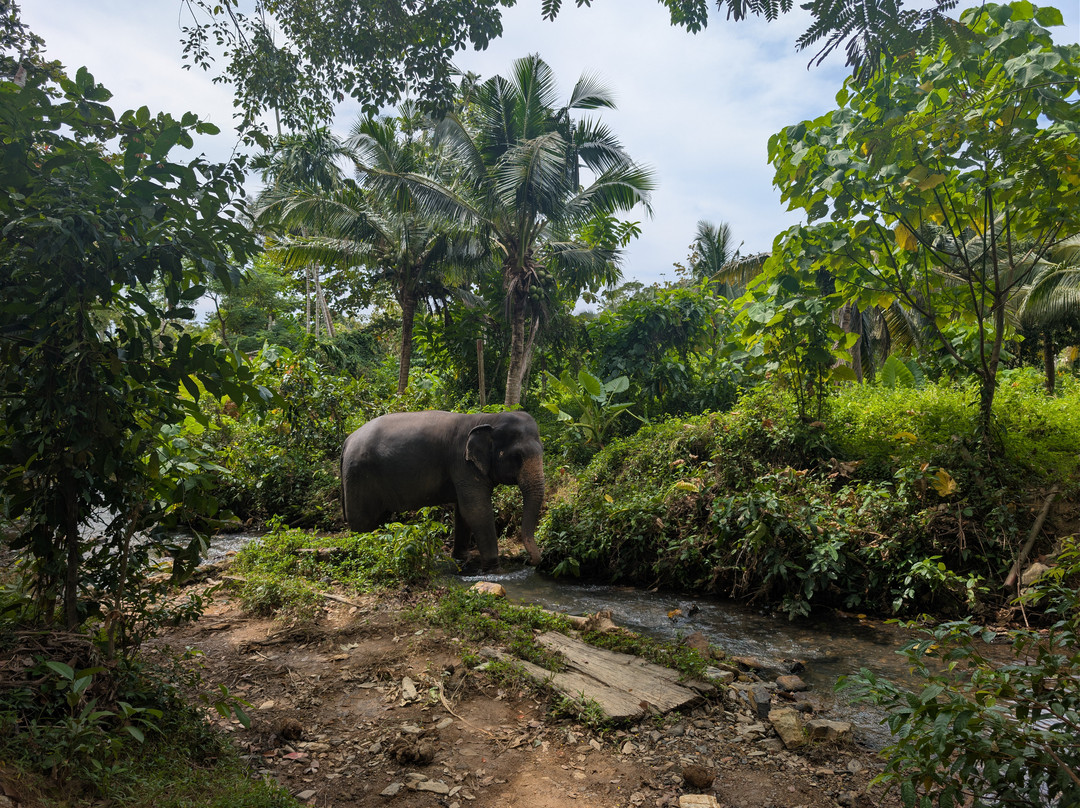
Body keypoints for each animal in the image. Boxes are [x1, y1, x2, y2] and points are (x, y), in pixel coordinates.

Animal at [340, 410, 544, 570]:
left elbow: (463, 512)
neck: (487, 419)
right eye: (518, 456)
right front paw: (495, 570)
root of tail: (347, 439)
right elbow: (476, 510)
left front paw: (461, 559)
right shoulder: (462, 464)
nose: (529, 561)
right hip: (358, 476)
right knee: (363, 523)